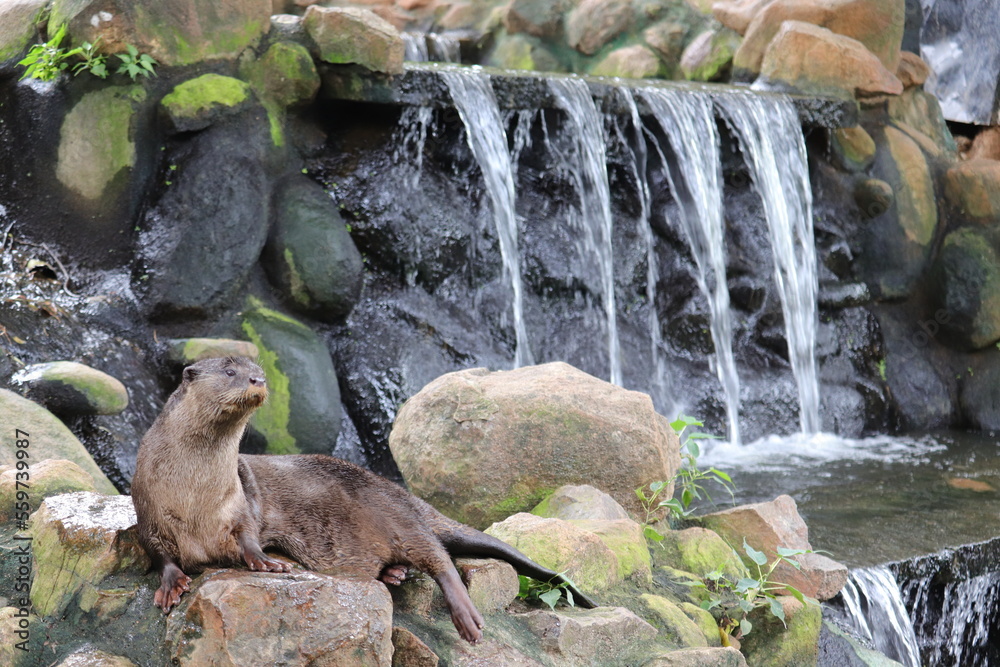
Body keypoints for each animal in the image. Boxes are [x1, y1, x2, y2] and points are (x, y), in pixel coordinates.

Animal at [131, 356, 596, 644]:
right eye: (229, 370)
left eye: (257, 368)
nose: (257, 381)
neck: (194, 491)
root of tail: (399, 492)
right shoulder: (147, 508)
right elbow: (158, 550)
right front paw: (171, 584)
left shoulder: (240, 502)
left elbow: (246, 536)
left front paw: (265, 562)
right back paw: (394, 574)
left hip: (396, 515)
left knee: (439, 558)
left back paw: (466, 616)